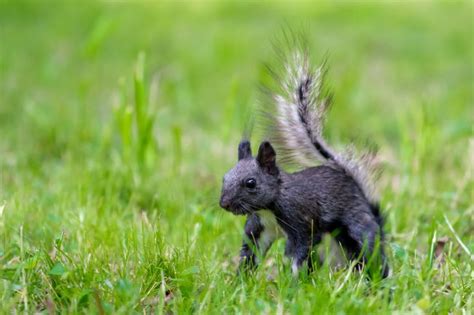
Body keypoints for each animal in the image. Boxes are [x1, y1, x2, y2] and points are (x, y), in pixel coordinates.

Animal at [218, 40, 388, 278]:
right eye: (224, 178)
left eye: (251, 183)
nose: (224, 203)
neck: (267, 208)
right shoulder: (259, 228)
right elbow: (250, 252)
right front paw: (240, 279)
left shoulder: (301, 221)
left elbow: (299, 252)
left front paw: (293, 281)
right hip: (333, 247)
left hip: (357, 226)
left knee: (371, 250)